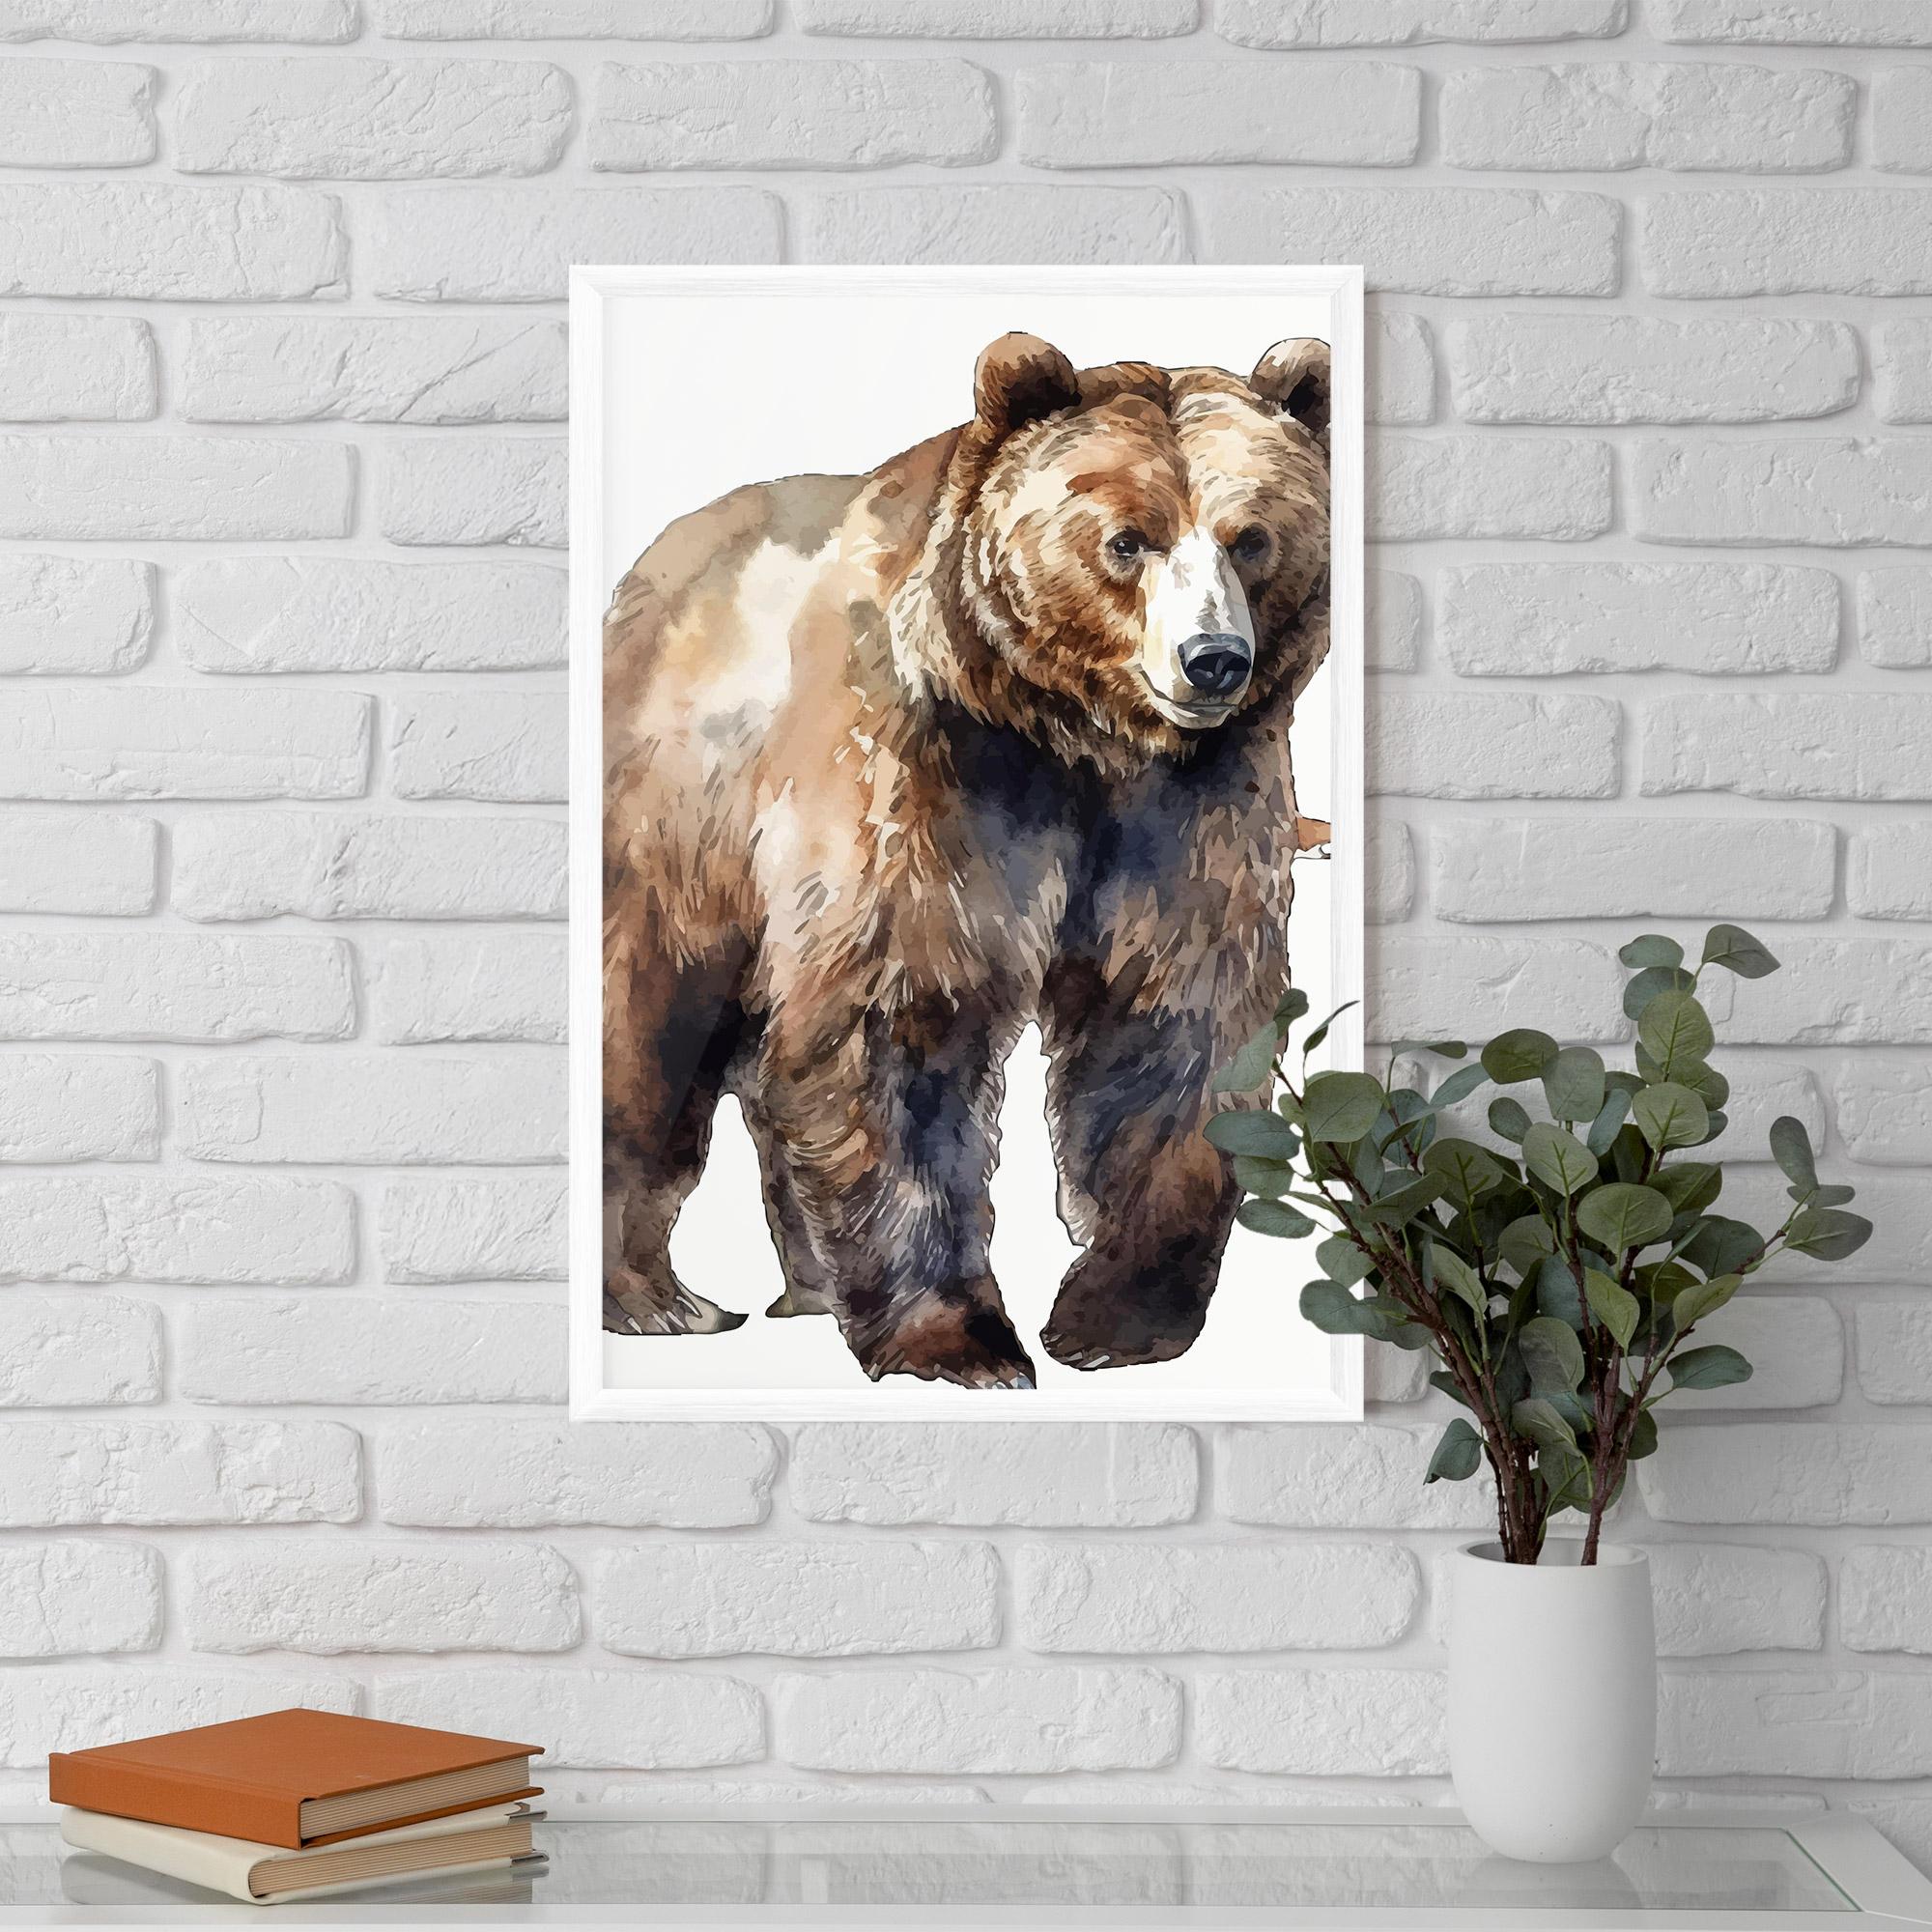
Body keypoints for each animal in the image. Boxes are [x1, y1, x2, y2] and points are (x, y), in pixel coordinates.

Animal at [602, 331, 1332, 1388]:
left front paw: (1115, 1317)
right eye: (1129, 539)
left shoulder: (1189, 811)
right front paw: (959, 1341)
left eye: (1250, 537)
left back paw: (808, 1285)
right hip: (680, 826)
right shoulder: (929, 777)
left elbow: (1172, 1024)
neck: (1081, 738)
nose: (1212, 661)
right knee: (651, 1031)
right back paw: (657, 1298)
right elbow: (900, 1023)